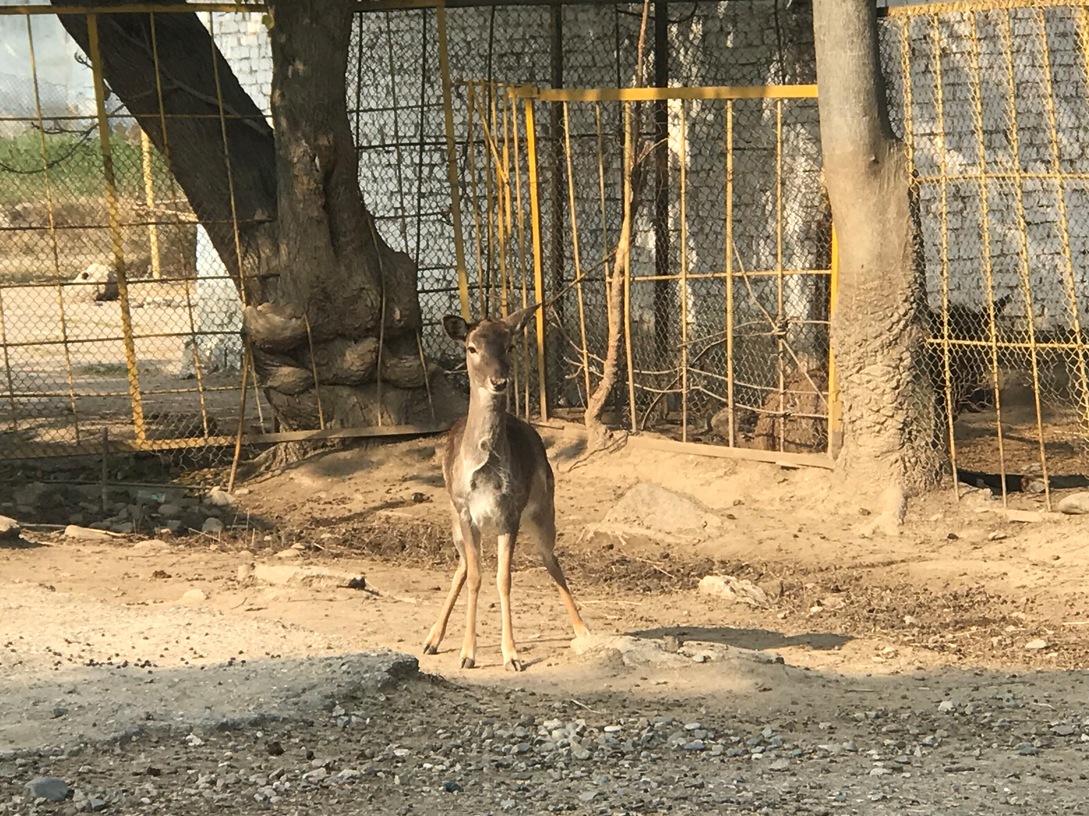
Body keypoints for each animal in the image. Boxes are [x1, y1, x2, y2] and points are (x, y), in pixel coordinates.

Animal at [424, 305, 592, 666]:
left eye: (511, 345)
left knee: (550, 557)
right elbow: (476, 577)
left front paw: (511, 655)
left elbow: (504, 579)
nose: (499, 381)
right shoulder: (464, 511)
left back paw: (584, 630)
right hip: (454, 519)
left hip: (543, 508)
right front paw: (467, 654)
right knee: (463, 565)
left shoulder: (510, 513)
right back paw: (431, 640)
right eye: (472, 347)